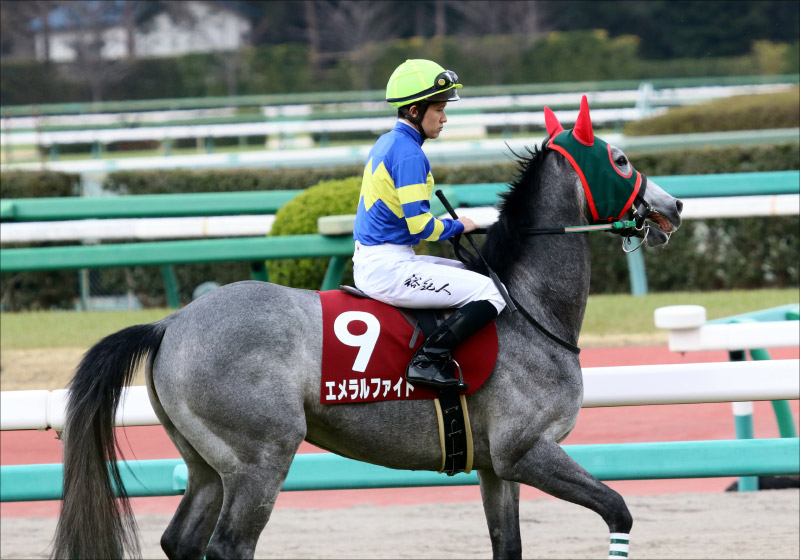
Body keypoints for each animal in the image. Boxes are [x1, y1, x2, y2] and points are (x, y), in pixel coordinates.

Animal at [52, 98, 682, 560]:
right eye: (621, 159)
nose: (673, 207)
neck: (526, 307)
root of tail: (171, 324)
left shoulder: (495, 469)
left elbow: (509, 547)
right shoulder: (527, 451)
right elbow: (619, 509)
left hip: (207, 465)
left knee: (181, 541)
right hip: (261, 459)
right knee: (229, 547)